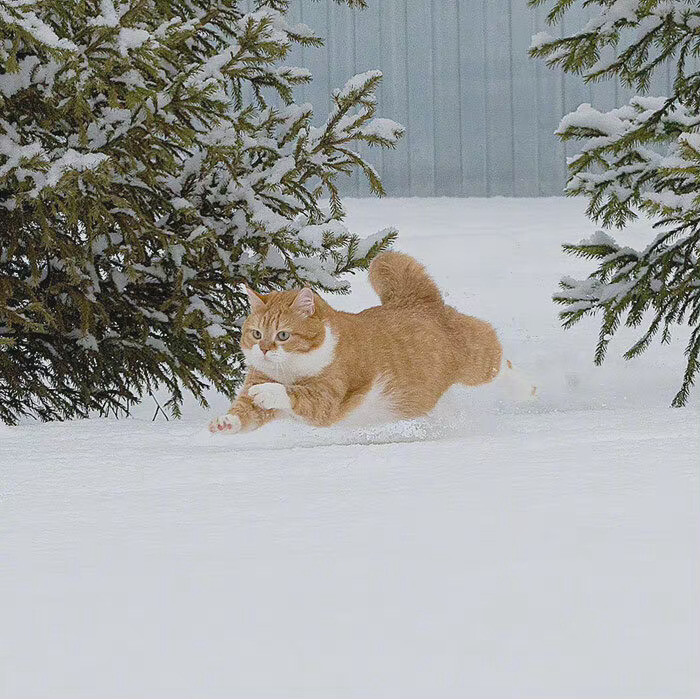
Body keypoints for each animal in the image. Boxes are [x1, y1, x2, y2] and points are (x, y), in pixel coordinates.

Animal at [209, 252, 504, 434]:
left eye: (283, 335)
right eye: (257, 334)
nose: (264, 349)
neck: (289, 369)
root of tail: (418, 301)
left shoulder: (329, 397)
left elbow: (297, 394)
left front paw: (268, 391)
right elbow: (245, 414)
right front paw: (225, 422)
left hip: (478, 359)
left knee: (497, 356)